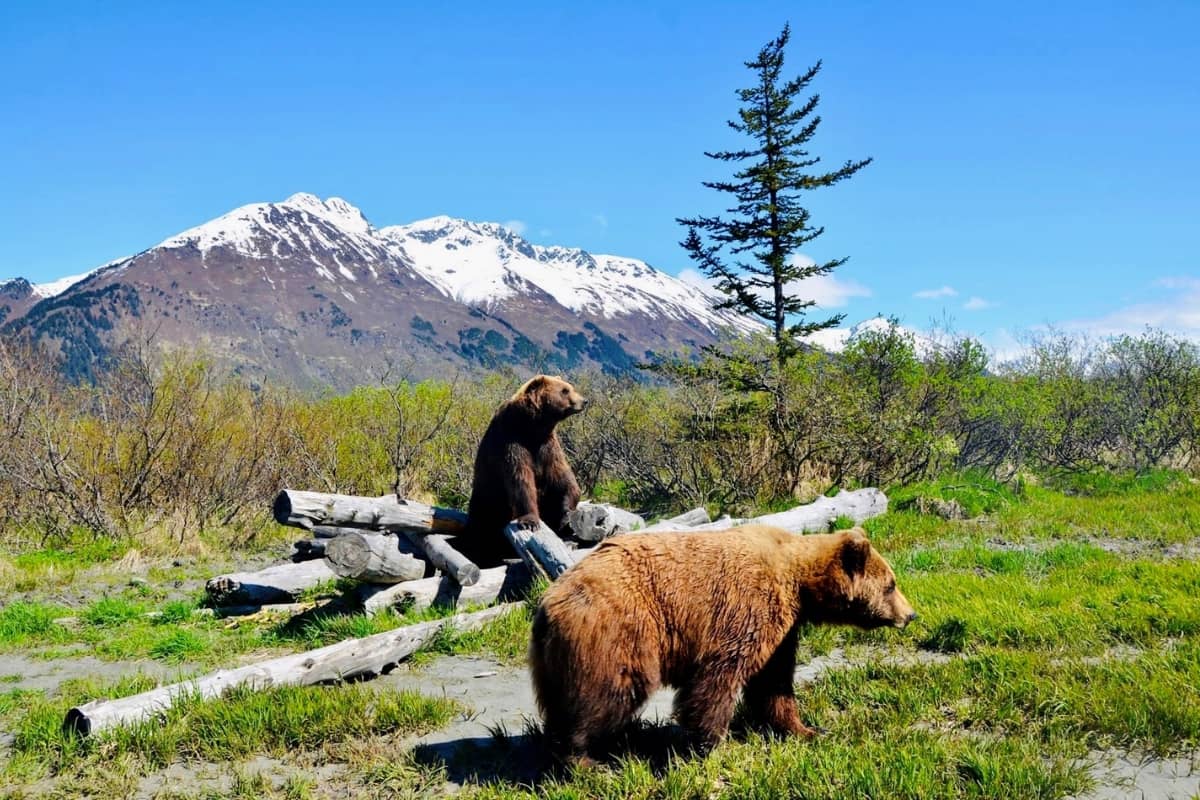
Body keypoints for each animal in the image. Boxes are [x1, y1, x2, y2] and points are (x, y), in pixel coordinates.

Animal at [460, 374, 588, 566]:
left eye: (570, 387)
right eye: (565, 390)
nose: (584, 401)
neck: (532, 426)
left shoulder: (547, 446)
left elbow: (562, 476)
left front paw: (566, 513)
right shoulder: (511, 441)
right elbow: (521, 480)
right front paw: (530, 521)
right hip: (487, 506)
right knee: (481, 533)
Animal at [530, 525, 912, 762]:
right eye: (891, 584)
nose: (911, 614)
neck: (799, 583)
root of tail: (548, 602)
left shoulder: (782, 630)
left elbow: (774, 682)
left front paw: (806, 729)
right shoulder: (745, 608)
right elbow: (719, 677)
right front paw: (712, 744)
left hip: (556, 659)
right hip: (617, 632)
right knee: (607, 694)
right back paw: (584, 759)